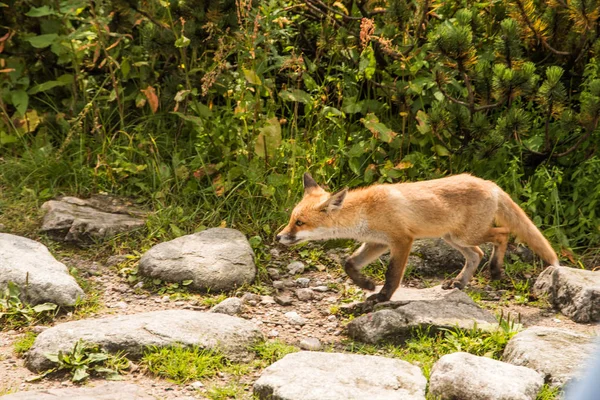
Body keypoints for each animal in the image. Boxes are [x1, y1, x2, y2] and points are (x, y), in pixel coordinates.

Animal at [276, 173, 556, 304]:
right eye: (291, 219)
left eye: (299, 223)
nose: (279, 237)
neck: (365, 211)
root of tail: (489, 183)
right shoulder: (378, 242)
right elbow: (349, 263)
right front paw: (366, 284)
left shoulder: (402, 240)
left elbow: (392, 275)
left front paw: (382, 297)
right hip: (453, 238)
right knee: (477, 254)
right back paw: (459, 282)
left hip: (466, 234)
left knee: (503, 234)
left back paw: (496, 270)